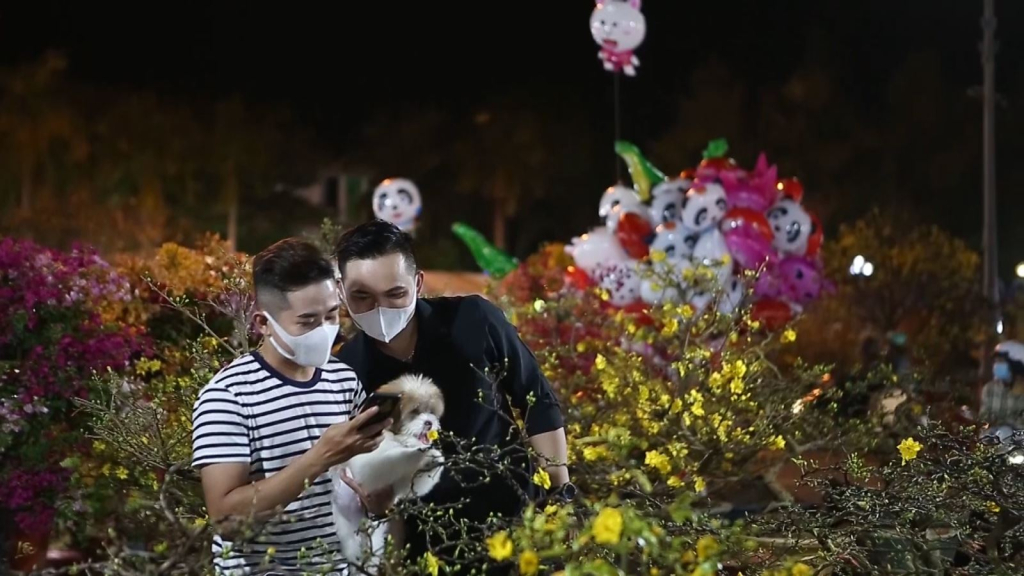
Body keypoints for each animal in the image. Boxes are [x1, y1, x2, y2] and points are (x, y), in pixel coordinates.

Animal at [331, 374, 445, 569]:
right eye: (415, 411)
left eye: (431, 411)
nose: (429, 422)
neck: (396, 437)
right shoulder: (367, 463)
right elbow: (393, 461)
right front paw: (417, 454)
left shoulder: (401, 483)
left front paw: (432, 459)